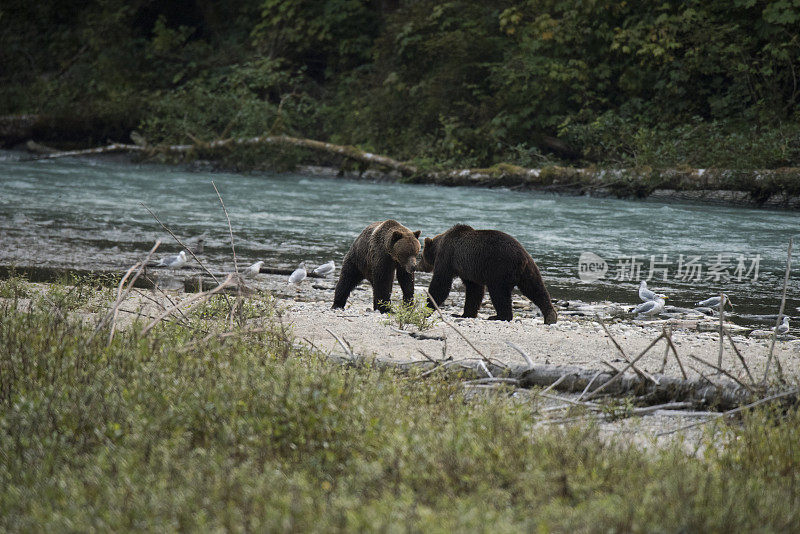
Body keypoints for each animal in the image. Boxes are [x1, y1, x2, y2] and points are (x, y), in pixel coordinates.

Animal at [422, 224, 560, 324]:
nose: (419, 265)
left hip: (499, 267)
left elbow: (441, 284)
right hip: (529, 269)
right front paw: (465, 314)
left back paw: (499, 316)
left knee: (499, 293)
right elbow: (474, 290)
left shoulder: (448, 257)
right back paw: (550, 316)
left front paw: (428, 307)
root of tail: (522, 256)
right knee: (535, 288)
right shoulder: (469, 270)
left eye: (422, 256)